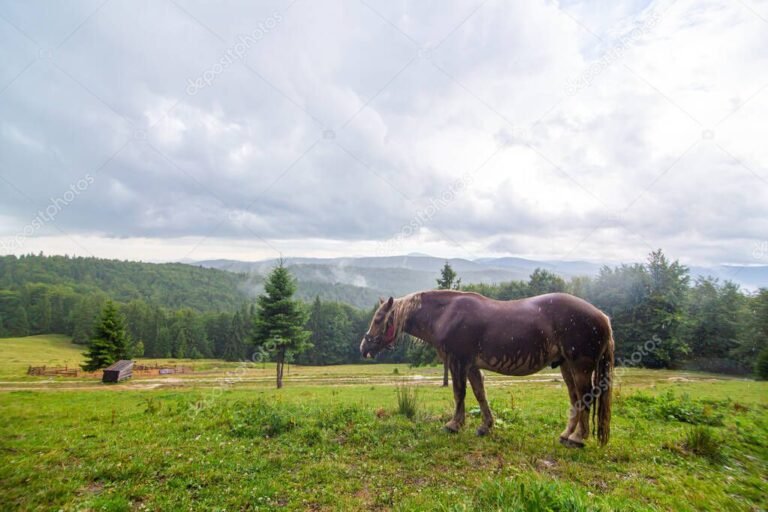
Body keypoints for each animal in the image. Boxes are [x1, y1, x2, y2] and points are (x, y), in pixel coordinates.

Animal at [360, 290, 614, 447]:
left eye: (378, 319)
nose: (364, 347)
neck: (446, 314)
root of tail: (603, 317)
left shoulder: (458, 362)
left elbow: (459, 393)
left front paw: (454, 425)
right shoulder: (471, 365)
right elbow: (480, 394)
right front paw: (485, 426)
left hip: (580, 367)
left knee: (586, 398)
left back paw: (578, 438)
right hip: (566, 367)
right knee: (576, 399)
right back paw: (566, 435)